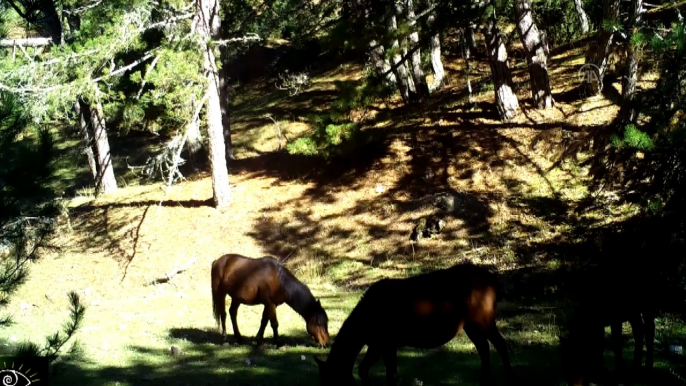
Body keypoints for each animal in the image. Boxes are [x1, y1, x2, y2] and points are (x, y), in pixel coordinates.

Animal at [314, 260, 512, 384]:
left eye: (331, 381)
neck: (364, 327)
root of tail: (494, 282)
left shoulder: (387, 343)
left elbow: (390, 376)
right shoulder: (377, 344)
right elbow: (364, 370)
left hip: (484, 319)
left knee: (500, 344)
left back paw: (506, 377)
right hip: (471, 325)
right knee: (484, 348)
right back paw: (484, 380)